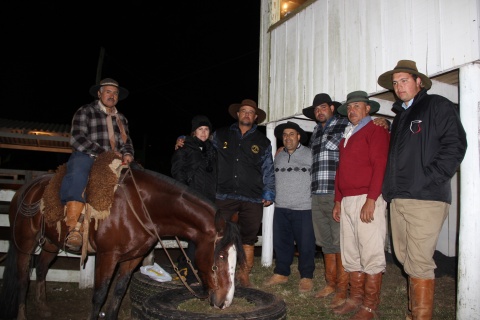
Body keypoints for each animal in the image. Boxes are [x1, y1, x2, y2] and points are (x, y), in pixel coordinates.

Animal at [0, 165, 246, 320]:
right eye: (220, 257)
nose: (225, 302)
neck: (140, 206)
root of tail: (28, 188)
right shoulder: (107, 256)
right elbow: (99, 295)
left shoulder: (133, 258)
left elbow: (118, 293)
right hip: (24, 244)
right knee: (22, 279)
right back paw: (21, 314)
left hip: (52, 243)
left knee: (41, 269)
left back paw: (43, 308)